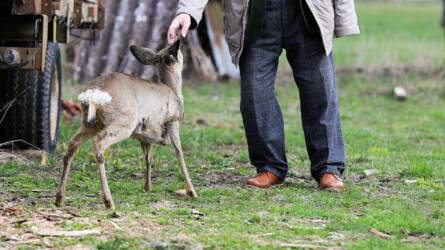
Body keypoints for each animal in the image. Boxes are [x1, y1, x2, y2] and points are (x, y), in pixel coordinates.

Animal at [54, 40, 197, 209]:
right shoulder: (173, 121)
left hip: (90, 122)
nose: (179, 45)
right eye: (178, 53)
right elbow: (179, 153)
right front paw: (192, 191)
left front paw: (148, 187)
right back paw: (109, 201)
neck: (174, 92)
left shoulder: (145, 135)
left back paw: (59, 198)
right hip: (124, 122)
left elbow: (149, 158)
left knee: (72, 145)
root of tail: (94, 93)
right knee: (98, 144)